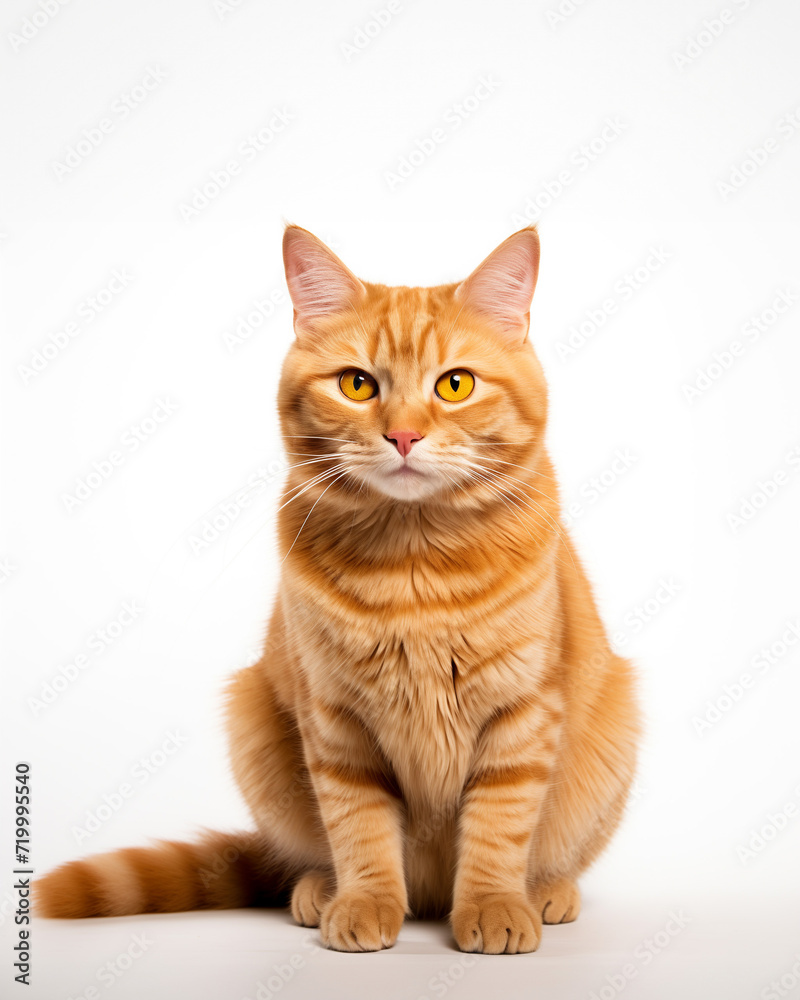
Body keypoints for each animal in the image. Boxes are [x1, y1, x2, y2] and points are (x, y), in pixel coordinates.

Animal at [37, 225, 640, 952]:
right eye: (357, 385)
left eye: (455, 385)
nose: (404, 434)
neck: (414, 569)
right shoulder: (335, 719)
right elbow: (359, 825)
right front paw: (364, 904)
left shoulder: (521, 714)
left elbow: (500, 825)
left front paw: (495, 905)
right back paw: (319, 890)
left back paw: (547, 891)